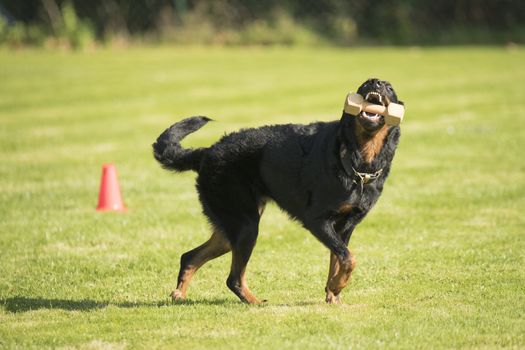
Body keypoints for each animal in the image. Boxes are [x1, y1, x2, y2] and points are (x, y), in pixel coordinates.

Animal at [151, 78, 402, 304]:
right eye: (364, 84)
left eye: (389, 87)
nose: (376, 82)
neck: (357, 160)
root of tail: (207, 152)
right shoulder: (317, 221)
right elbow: (349, 258)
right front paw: (336, 286)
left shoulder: (345, 227)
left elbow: (338, 261)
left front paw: (333, 292)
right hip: (246, 225)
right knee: (233, 278)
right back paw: (254, 301)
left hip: (231, 227)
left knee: (190, 257)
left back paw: (179, 295)